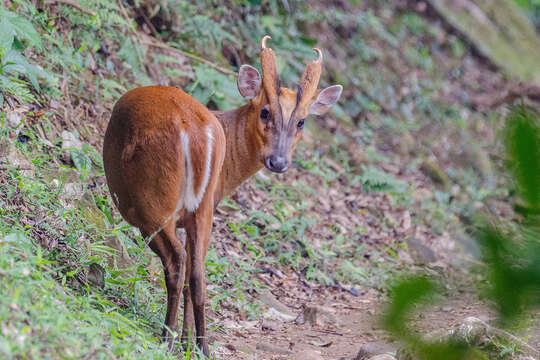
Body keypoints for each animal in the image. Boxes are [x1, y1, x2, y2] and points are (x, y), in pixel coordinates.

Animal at [102, 35, 342, 356]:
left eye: (302, 121)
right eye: (264, 111)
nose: (278, 161)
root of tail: (193, 132)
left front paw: (181, 340)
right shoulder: (204, 208)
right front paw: (188, 342)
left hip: (152, 203)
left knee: (177, 262)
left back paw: (167, 337)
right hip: (199, 207)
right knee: (197, 274)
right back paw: (200, 347)